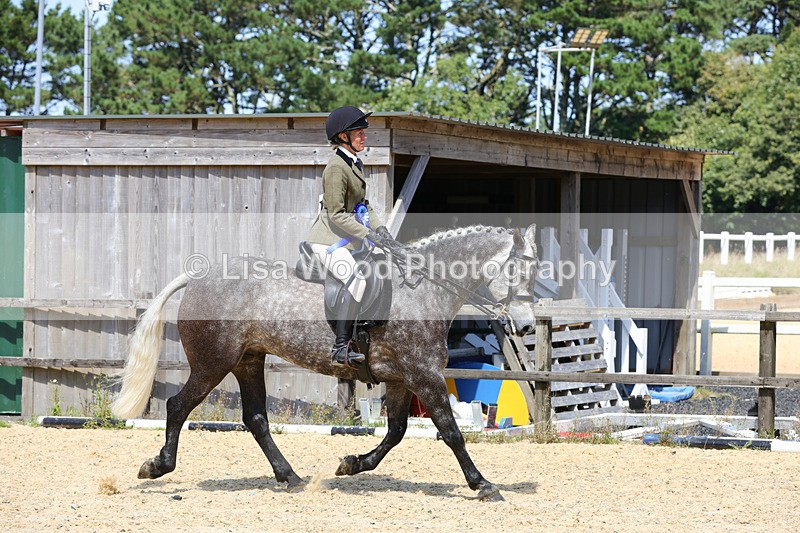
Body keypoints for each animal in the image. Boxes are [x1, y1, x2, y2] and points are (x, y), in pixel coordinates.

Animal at [111, 224, 538, 501]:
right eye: (519, 272)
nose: (528, 326)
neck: (422, 290)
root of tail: (201, 278)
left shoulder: (402, 379)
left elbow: (397, 431)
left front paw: (352, 463)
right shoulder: (425, 376)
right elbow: (451, 433)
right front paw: (483, 485)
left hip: (248, 360)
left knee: (255, 419)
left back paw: (291, 477)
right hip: (212, 364)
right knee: (178, 406)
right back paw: (157, 466)